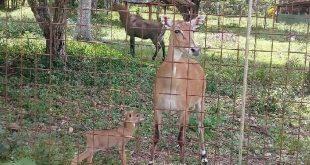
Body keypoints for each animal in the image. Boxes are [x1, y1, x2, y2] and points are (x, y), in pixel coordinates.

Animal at [148, 15, 208, 165]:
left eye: (193, 30)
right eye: (177, 30)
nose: (195, 50)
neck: (171, 85)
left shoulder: (184, 109)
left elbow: (181, 139)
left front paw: (183, 160)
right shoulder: (157, 107)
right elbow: (156, 136)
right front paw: (151, 161)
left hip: (201, 100)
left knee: (200, 126)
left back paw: (204, 156)